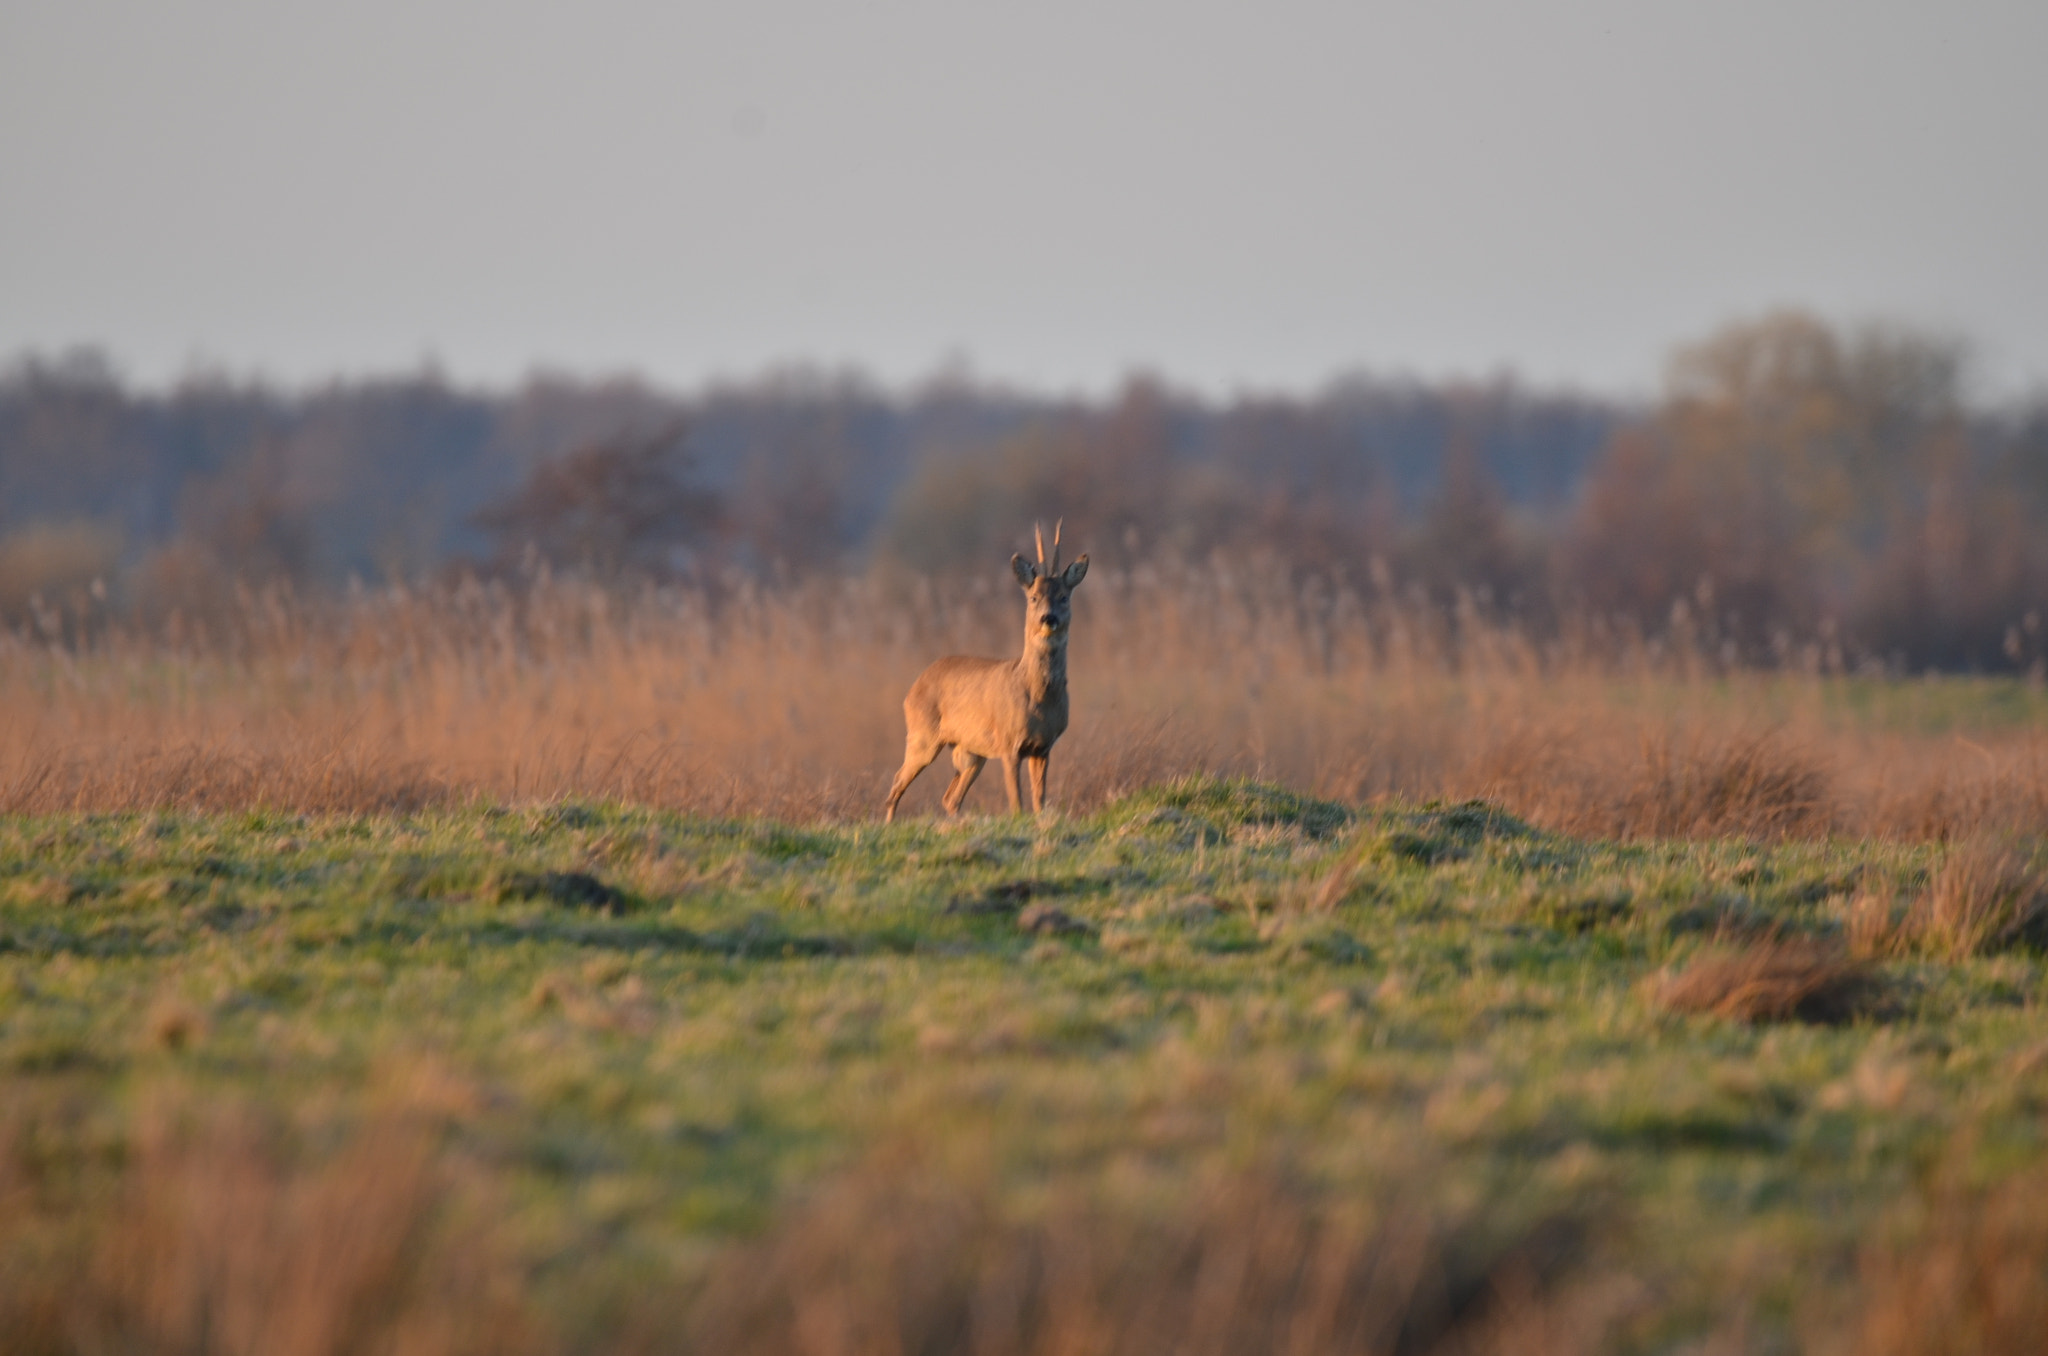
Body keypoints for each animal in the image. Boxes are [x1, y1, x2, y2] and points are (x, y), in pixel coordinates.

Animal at [888, 522, 1097, 823]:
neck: (1038, 696)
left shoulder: (1043, 747)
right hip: (922, 735)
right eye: (1033, 597)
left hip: (970, 752)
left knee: (950, 797)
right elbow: (1016, 803)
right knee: (897, 782)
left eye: (1063, 597)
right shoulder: (1009, 743)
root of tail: (913, 687)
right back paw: (889, 824)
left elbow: (1039, 800)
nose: (1049, 618)